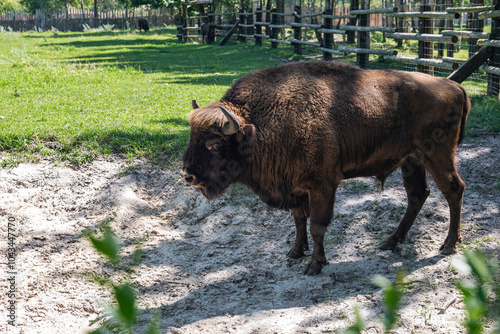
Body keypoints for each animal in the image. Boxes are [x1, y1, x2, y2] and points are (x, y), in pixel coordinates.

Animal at [182, 61, 470, 276]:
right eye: (191, 136)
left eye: (214, 144)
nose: (188, 175)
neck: (258, 125)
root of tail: (455, 86)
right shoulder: (295, 186)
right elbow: (299, 220)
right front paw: (295, 252)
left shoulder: (321, 186)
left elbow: (317, 225)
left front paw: (314, 265)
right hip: (412, 161)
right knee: (417, 195)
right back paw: (390, 241)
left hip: (437, 155)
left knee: (454, 189)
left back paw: (447, 245)